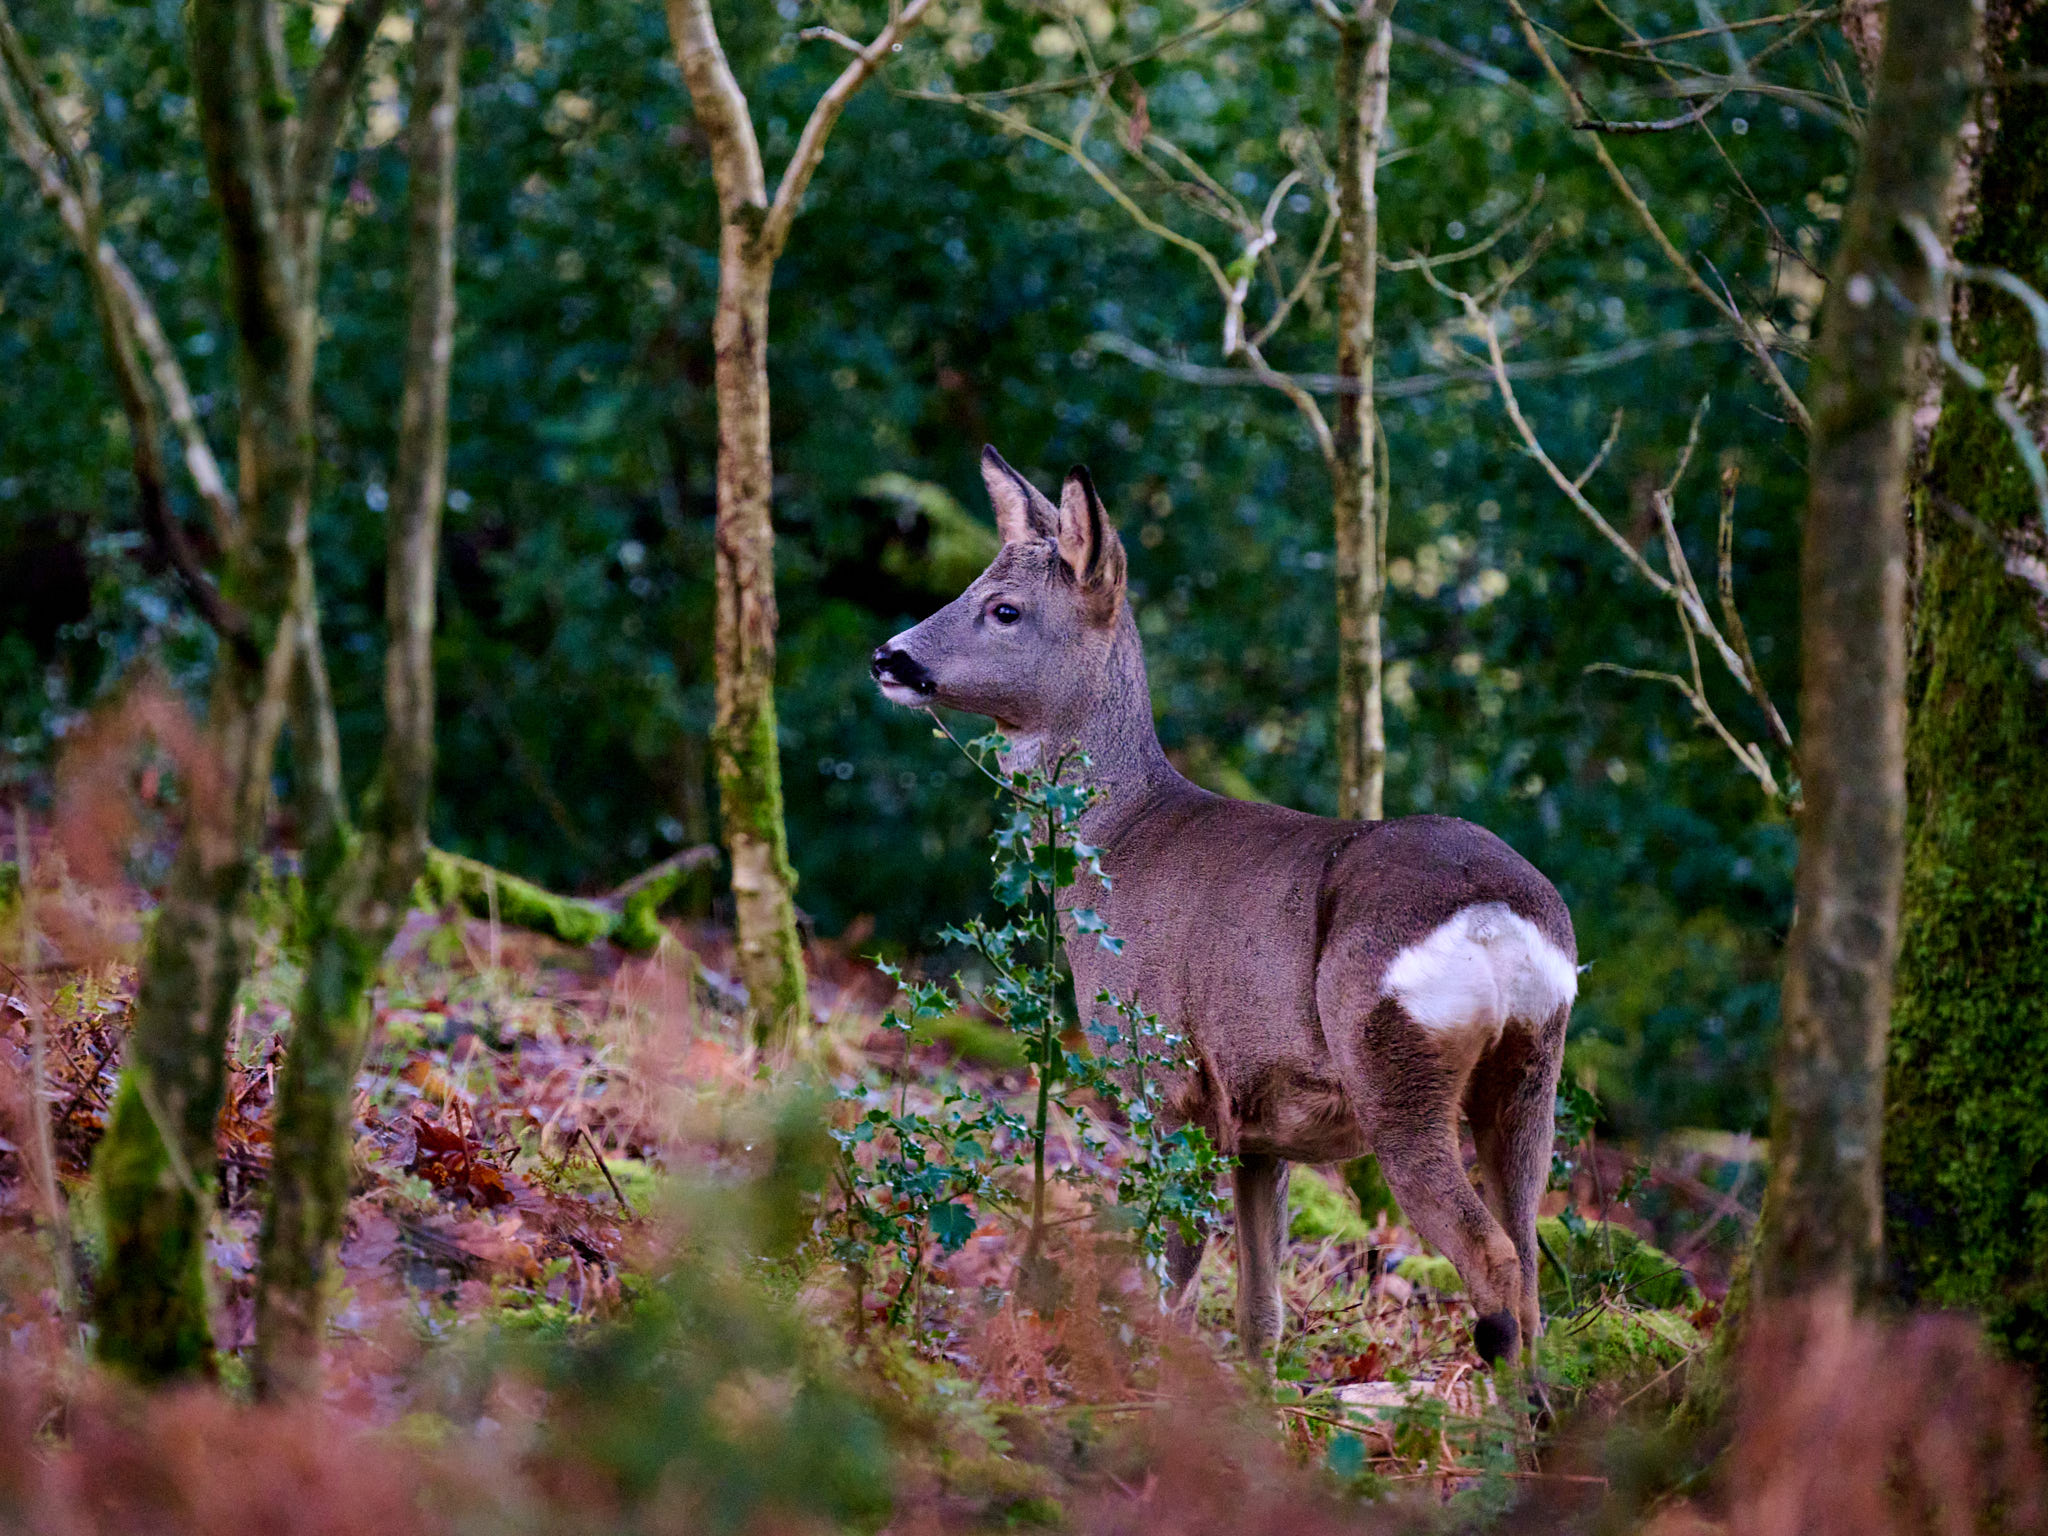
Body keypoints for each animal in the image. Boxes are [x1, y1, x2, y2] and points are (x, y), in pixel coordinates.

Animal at [870, 447, 1577, 1372]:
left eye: (1005, 609)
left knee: (1492, 1258)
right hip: (1532, 1069)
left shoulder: (1167, 1071)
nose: (887, 657)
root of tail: (1497, 918)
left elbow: (1174, 1252)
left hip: (1397, 1062)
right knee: (1529, 1266)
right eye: (973, 584)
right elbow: (1259, 1309)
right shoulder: (1263, 1119)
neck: (1123, 843)